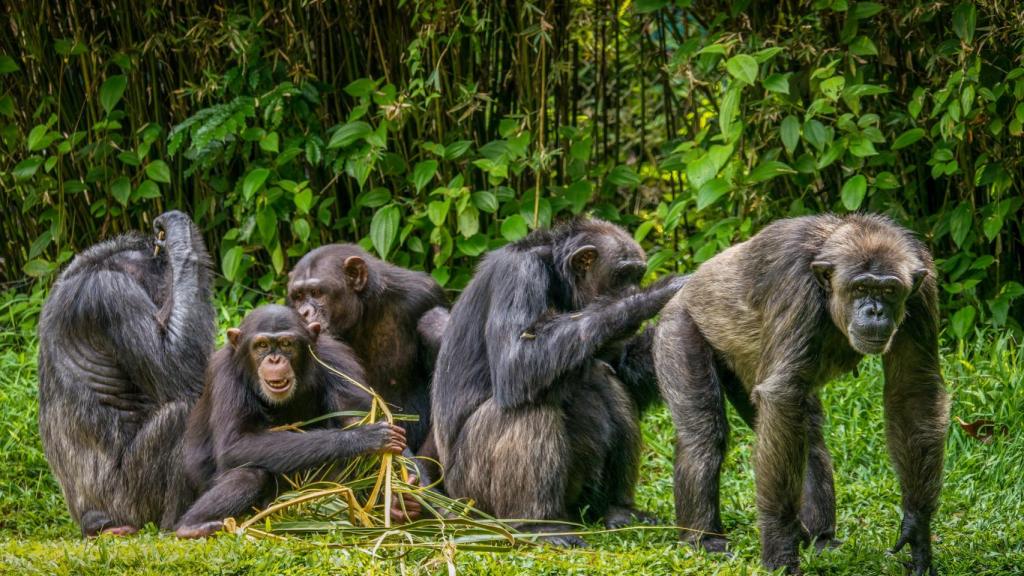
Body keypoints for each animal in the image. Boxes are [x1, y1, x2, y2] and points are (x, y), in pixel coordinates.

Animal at [38, 210, 216, 532]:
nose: (163, 312)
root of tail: (91, 519)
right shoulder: (113, 295)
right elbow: (176, 367)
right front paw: (178, 237)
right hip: (131, 502)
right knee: (184, 411)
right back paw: (182, 524)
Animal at [177, 303, 411, 537]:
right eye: (262, 345)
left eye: (286, 344)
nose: (274, 359)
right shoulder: (225, 374)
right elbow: (235, 443)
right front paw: (362, 438)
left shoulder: (335, 359)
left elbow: (354, 415)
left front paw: (405, 495)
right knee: (250, 474)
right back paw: (191, 527)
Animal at [428, 216, 684, 541]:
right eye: (624, 275)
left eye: (638, 274)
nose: (635, 285)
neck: (557, 278)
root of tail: (452, 501)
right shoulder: (519, 274)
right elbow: (517, 359)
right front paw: (650, 296)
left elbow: (624, 367)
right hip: (473, 495)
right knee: (529, 408)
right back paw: (539, 524)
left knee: (609, 384)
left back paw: (617, 509)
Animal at [651, 213, 946, 569]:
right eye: (861, 287)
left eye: (889, 290)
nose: (875, 310)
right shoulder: (796, 285)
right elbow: (782, 393)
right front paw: (779, 546)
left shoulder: (922, 291)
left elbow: (913, 388)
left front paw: (917, 528)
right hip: (678, 330)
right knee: (703, 436)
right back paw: (704, 539)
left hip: (743, 372)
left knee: (806, 434)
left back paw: (821, 538)